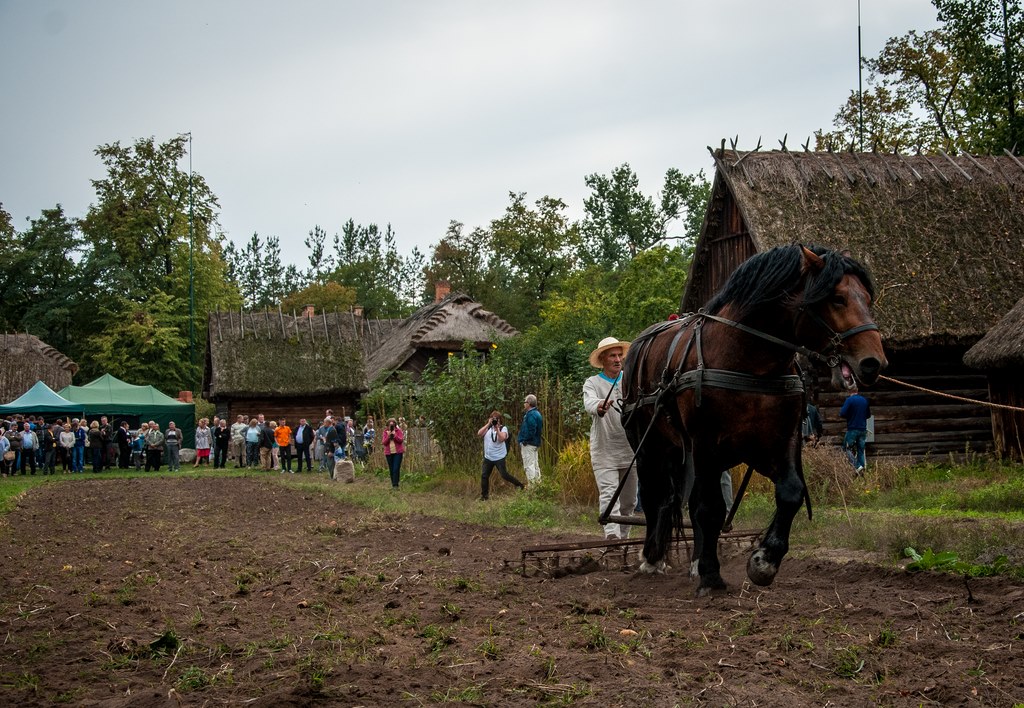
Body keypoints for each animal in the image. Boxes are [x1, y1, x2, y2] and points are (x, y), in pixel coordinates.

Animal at [619, 244, 887, 596]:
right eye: (838, 298)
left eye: (867, 299)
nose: (873, 363)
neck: (749, 363)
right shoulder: (706, 444)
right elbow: (710, 508)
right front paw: (711, 576)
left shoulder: (775, 442)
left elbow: (791, 492)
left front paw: (764, 560)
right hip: (651, 446)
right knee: (656, 496)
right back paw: (652, 557)